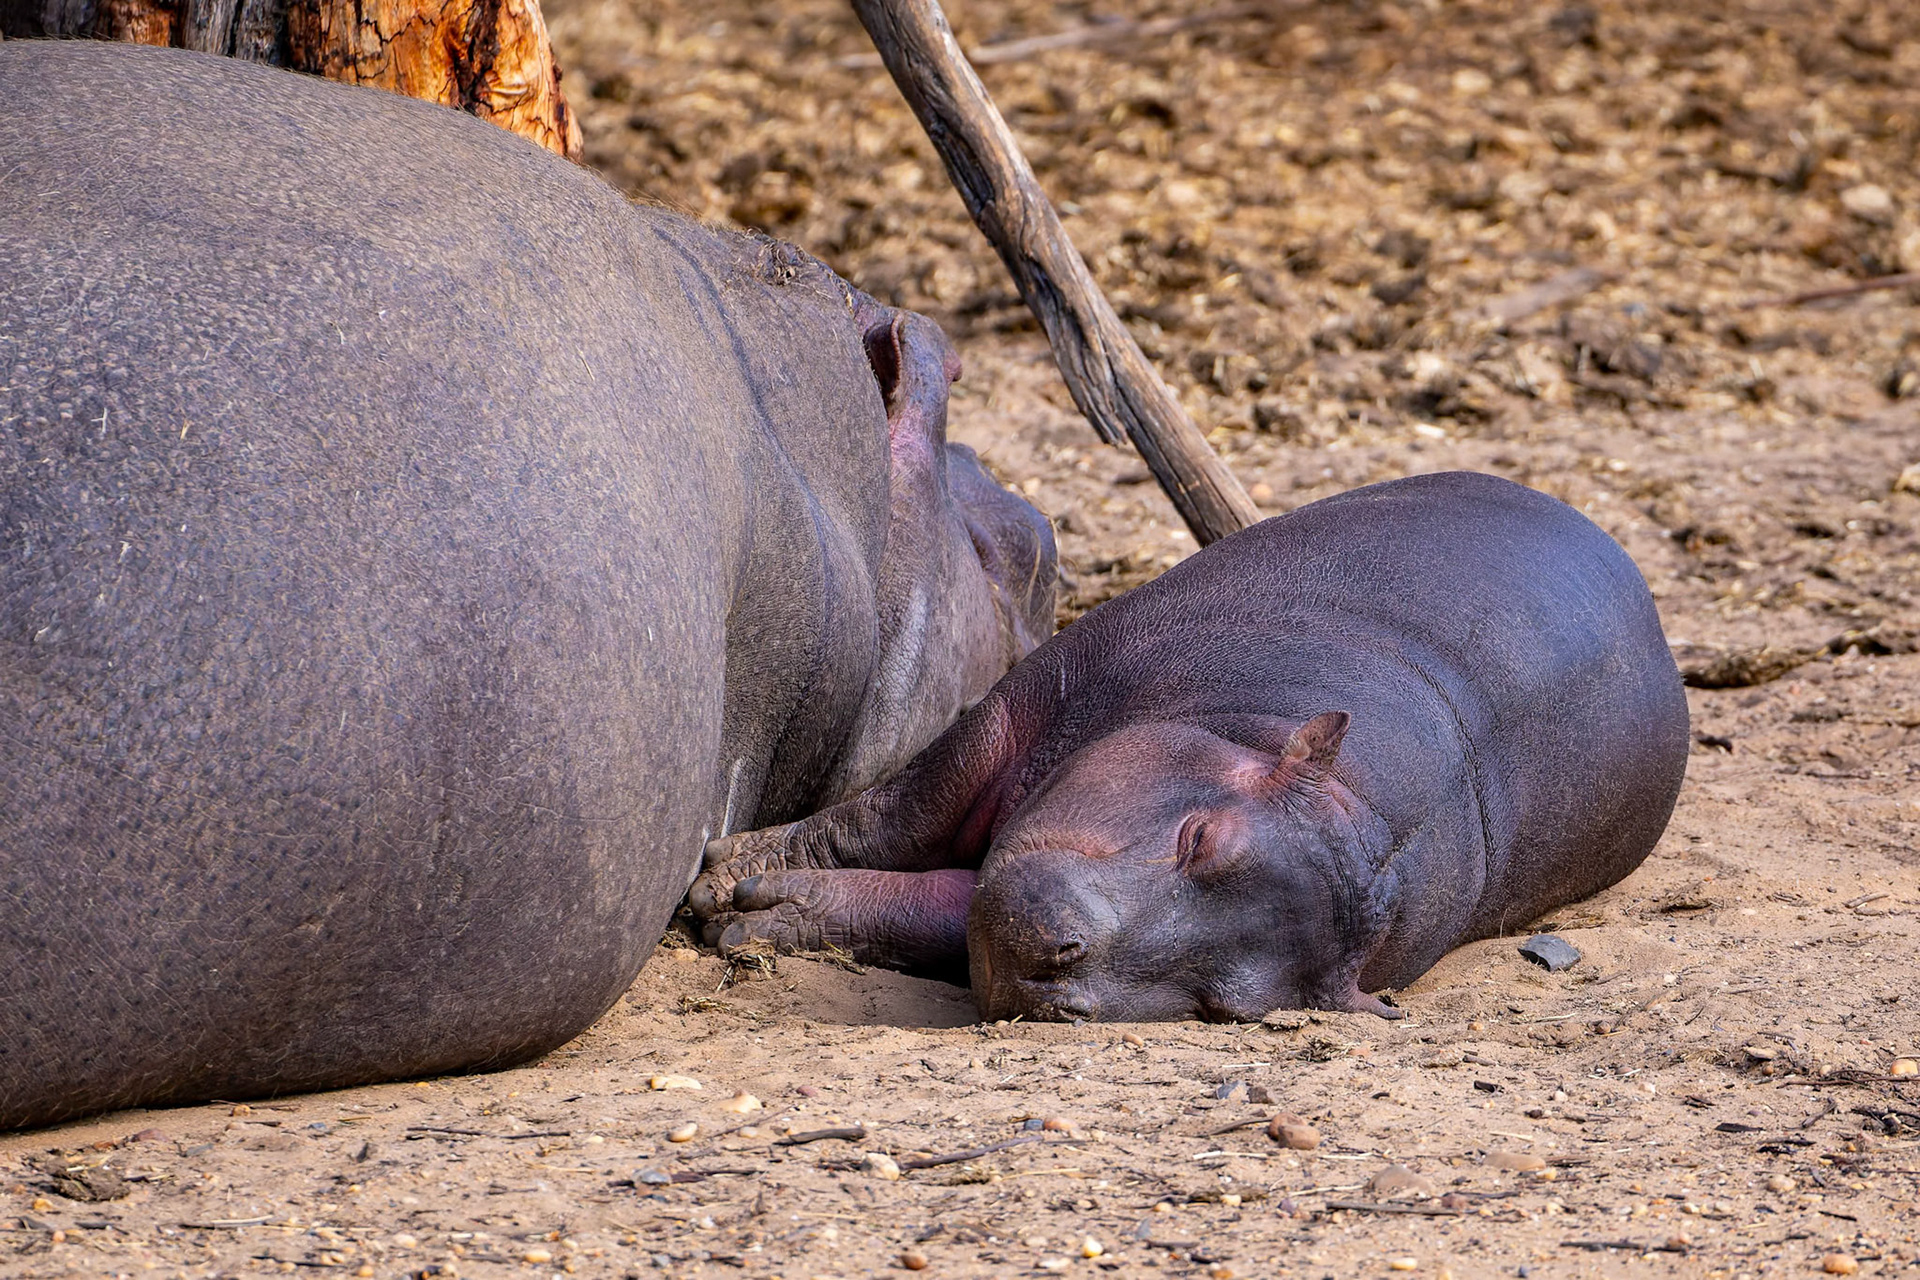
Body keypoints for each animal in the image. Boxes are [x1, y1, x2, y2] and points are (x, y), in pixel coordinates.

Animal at [693, 471, 1690, 1021]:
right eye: (1200, 838)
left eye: (1219, 1004)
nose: (1064, 966)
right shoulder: (1029, 700)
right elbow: (892, 816)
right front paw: (726, 875)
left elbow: (944, 903)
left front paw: (752, 918)